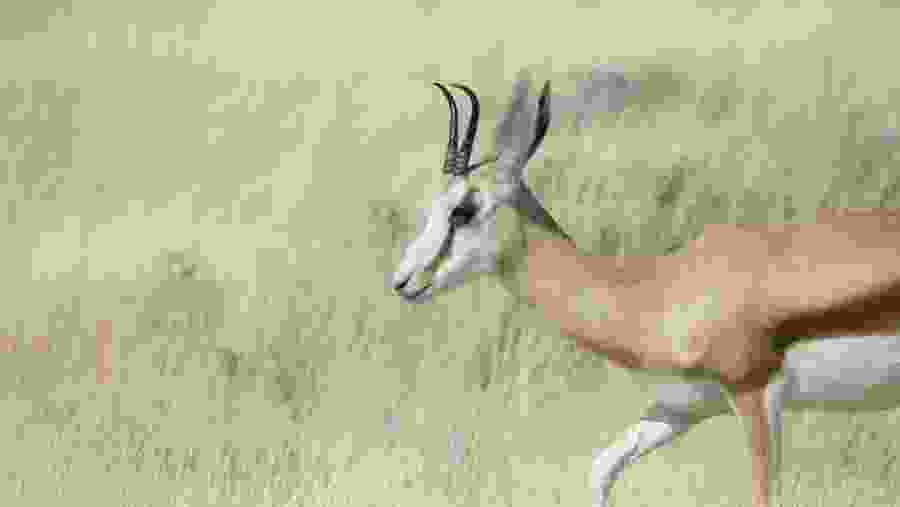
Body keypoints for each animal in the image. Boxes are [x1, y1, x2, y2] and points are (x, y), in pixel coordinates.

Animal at [389, 73, 900, 507]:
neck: (654, 291)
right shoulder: (680, 408)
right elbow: (601, 467)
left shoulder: (755, 395)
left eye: (463, 210)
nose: (402, 281)